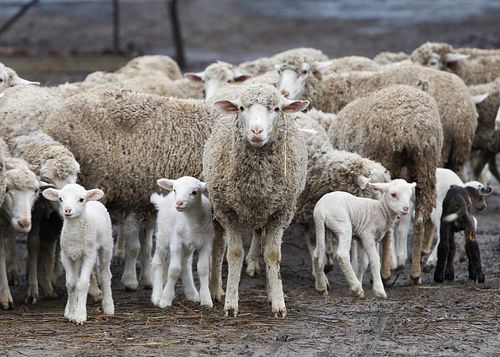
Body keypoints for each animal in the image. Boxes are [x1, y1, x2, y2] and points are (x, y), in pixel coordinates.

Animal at [42, 185, 114, 324]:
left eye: (81, 199)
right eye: (60, 199)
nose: (67, 210)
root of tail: (94, 201)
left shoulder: (89, 255)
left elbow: (82, 283)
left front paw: (80, 315)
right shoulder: (66, 256)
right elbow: (71, 284)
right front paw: (71, 312)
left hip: (106, 246)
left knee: (105, 274)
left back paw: (108, 306)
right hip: (76, 257)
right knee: (75, 278)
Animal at [149, 175, 214, 306]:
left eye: (194, 192)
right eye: (175, 190)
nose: (179, 203)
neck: (190, 221)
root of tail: (164, 200)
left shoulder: (206, 242)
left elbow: (203, 269)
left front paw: (206, 300)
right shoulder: (176, 242)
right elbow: (174, 270)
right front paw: (165, 299)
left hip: (188, 246)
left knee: (185, 264)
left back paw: (192, 293)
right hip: (163, 236)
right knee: (158, 262)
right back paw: (157, 295)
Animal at [203, 84, 308, 318]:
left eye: (276, 108)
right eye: (241, 108)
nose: (257, 131)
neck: (256, 185)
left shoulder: (281, 213)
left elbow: (273, 255)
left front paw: (278, 302)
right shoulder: (227, 212)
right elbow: (234, 254)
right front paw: (231, 304)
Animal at [330, 84, 444, 284]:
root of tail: (410, 126)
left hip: (389, 163)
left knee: (390, 227)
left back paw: (384, 273)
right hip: (426, 167)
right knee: (419, 220)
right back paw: (415, 274)